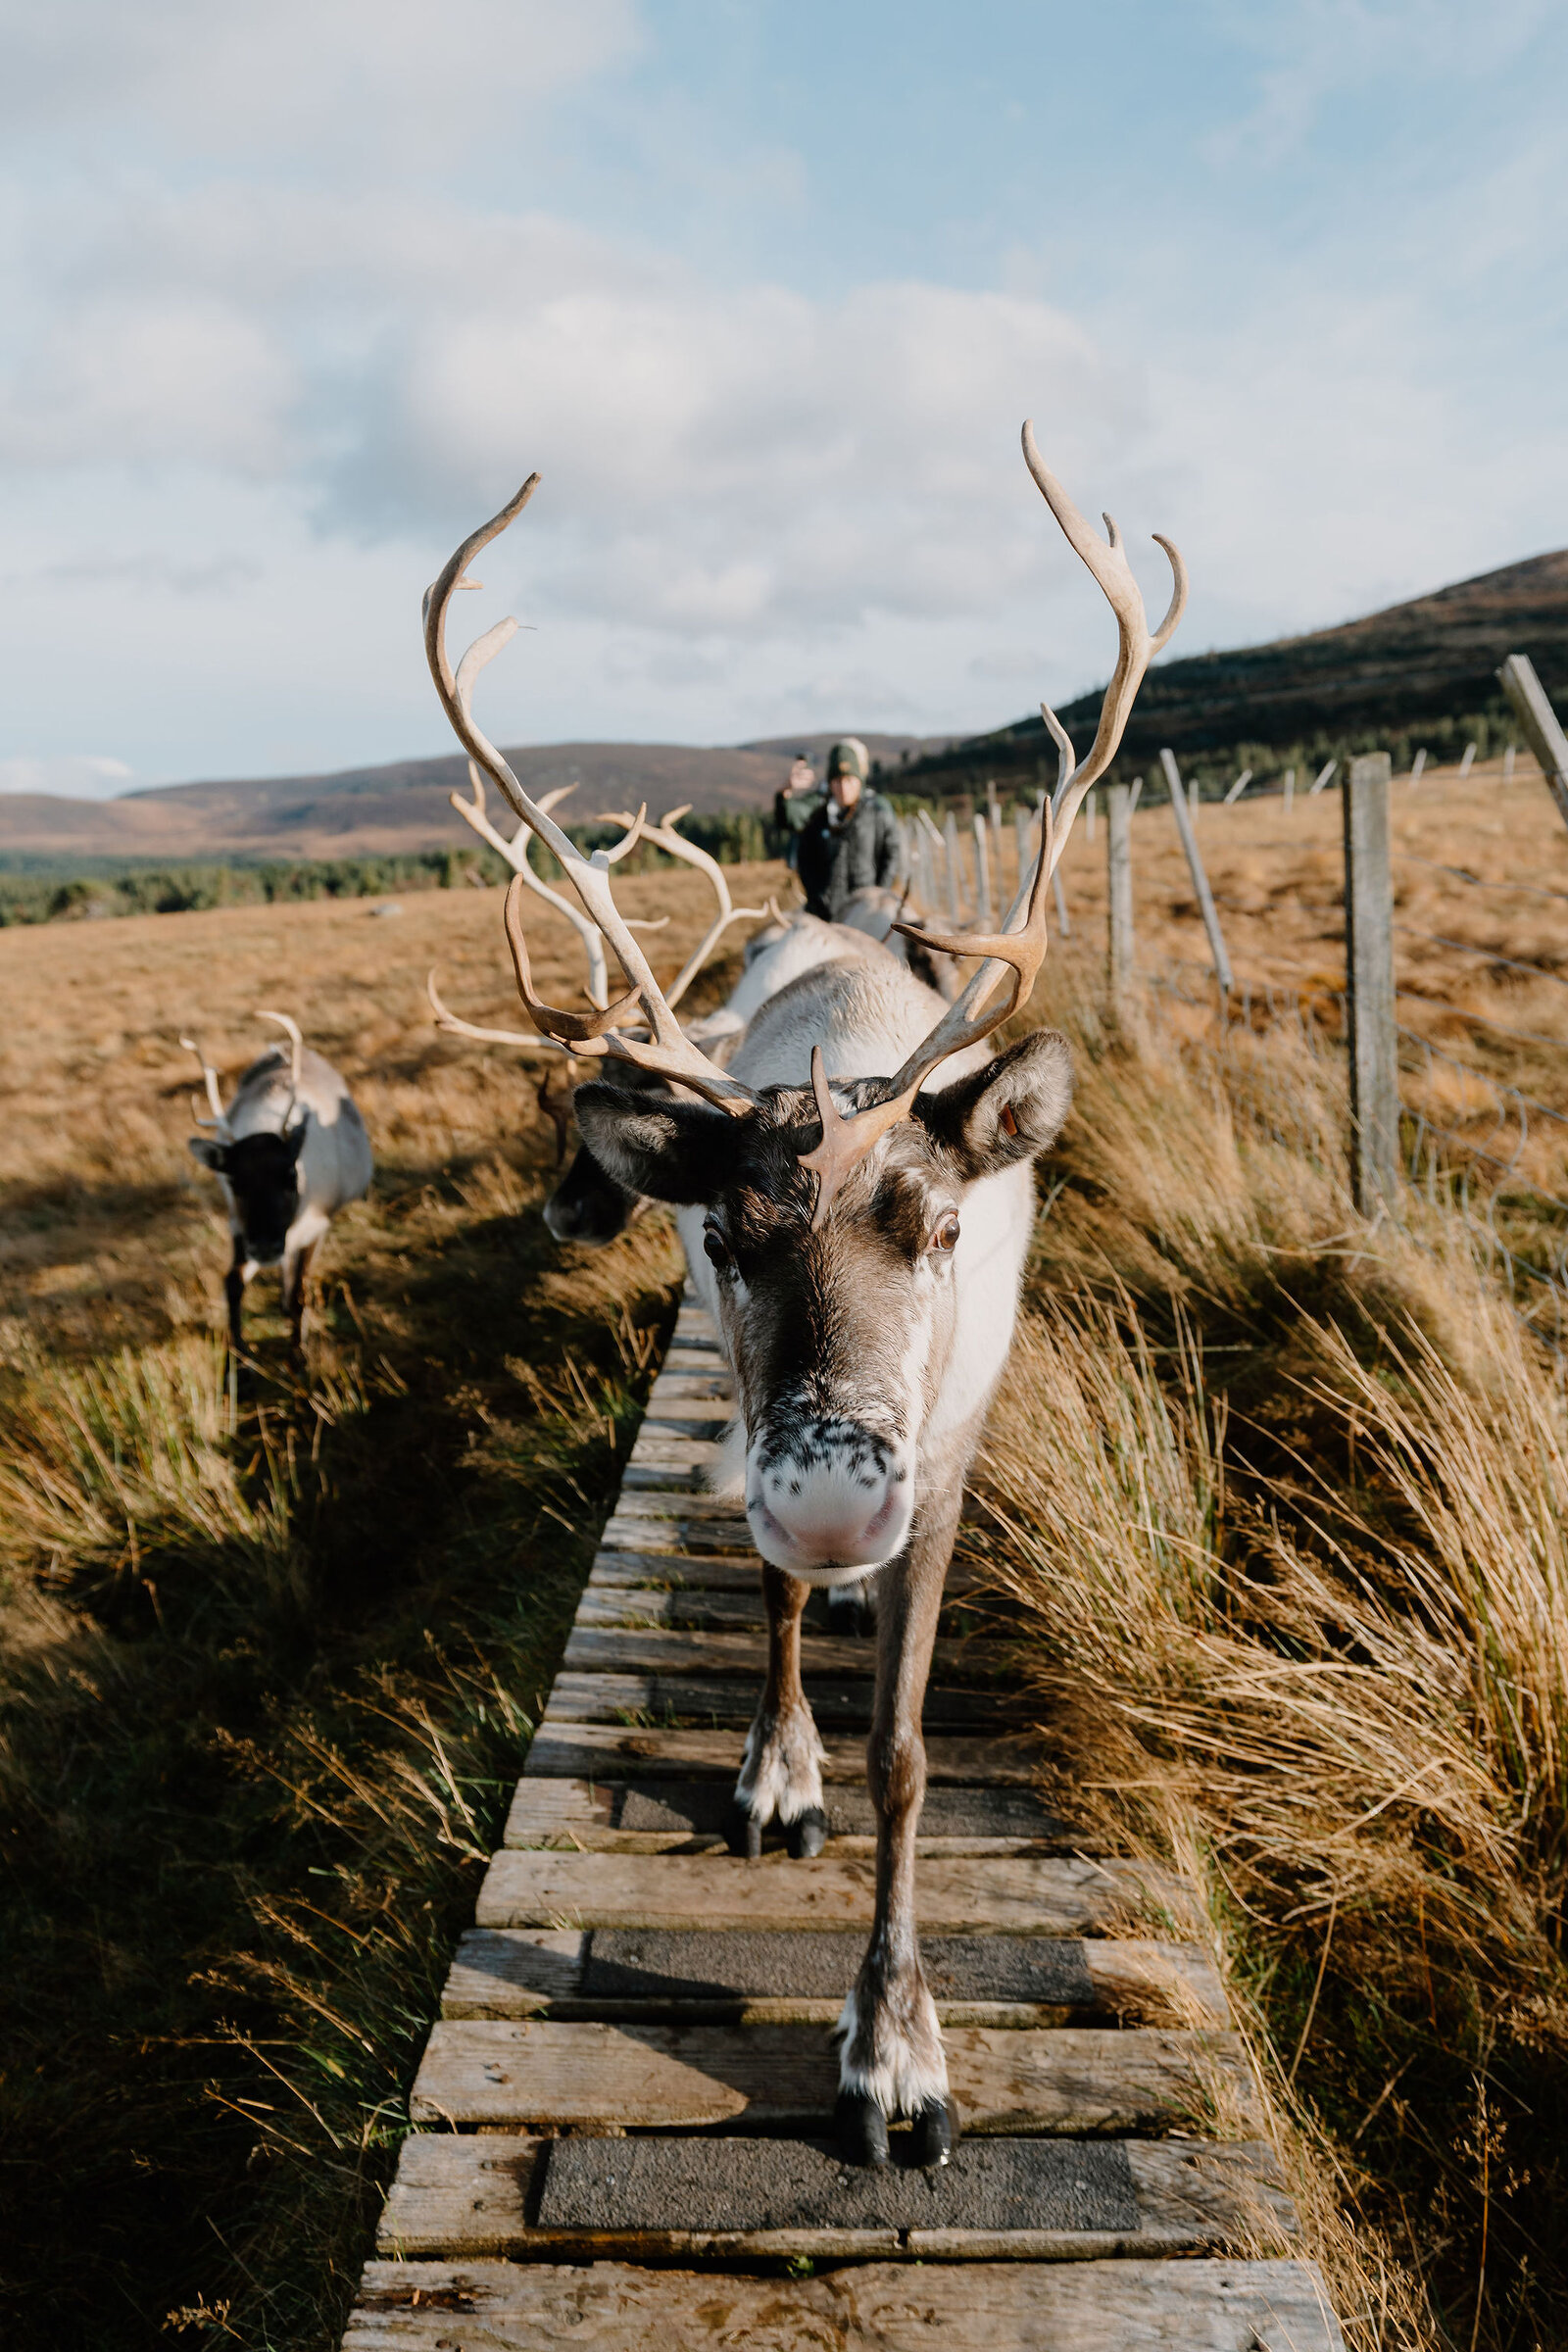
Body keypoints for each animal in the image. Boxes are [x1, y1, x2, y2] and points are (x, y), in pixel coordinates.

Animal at [183, 1012, 374, 1349]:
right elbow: (233, 1281)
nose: (265, 1248)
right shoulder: (240, 1224)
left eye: (290, 1174)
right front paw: (238, 1353)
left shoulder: (316, 1226)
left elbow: (299, 1293)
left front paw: (298, 1353)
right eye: (233, 1183)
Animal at [422, 424, 1186, 2168]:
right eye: (725, 1235)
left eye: (946, 1226)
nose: (837, 1500)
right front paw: (779, 1777)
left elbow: (908, 1756)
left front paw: (897, 2051)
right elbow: (768, 1613)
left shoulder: (952, 1455)